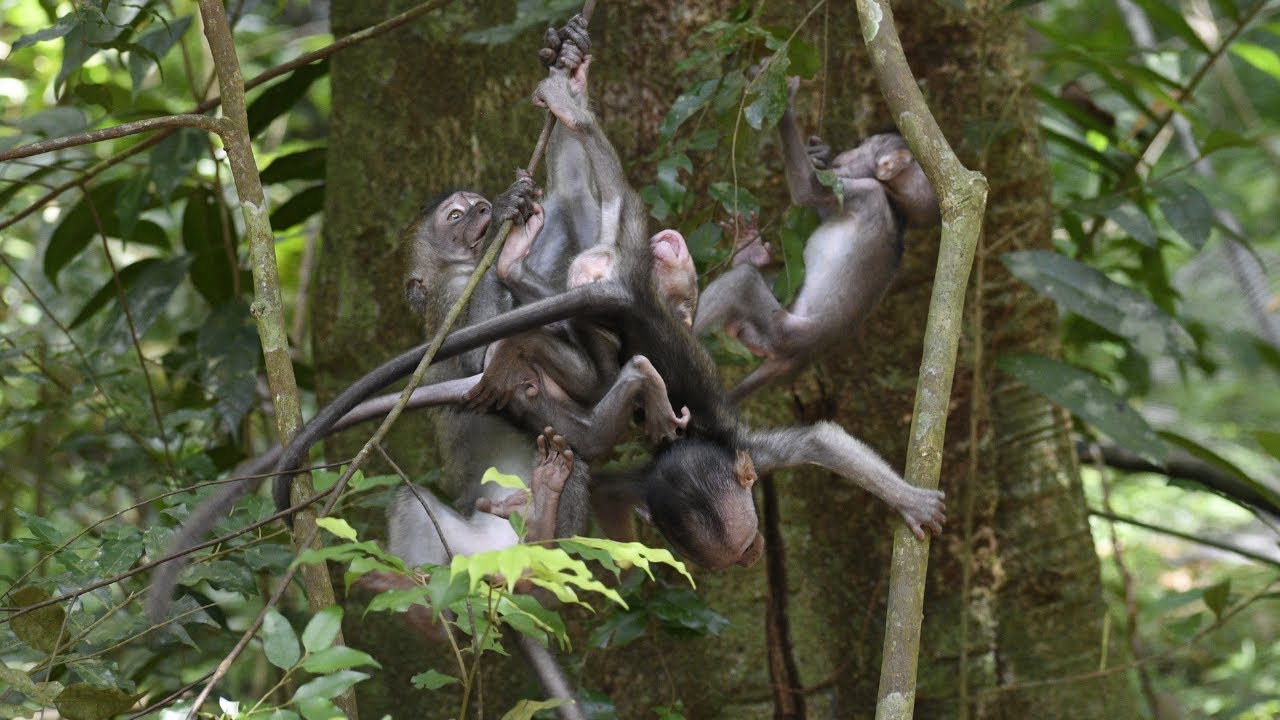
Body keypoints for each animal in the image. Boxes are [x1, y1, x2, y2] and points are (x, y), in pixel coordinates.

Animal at [692, 77, 941, 403]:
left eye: (864, 146)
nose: (844, 154)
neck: (895, 203)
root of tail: (798, 356)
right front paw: (819, 153)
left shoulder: (867, 192)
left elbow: (807, 190)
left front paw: (785, 105)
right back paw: (752, 252)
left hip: (776, 335)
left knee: (742, 283)